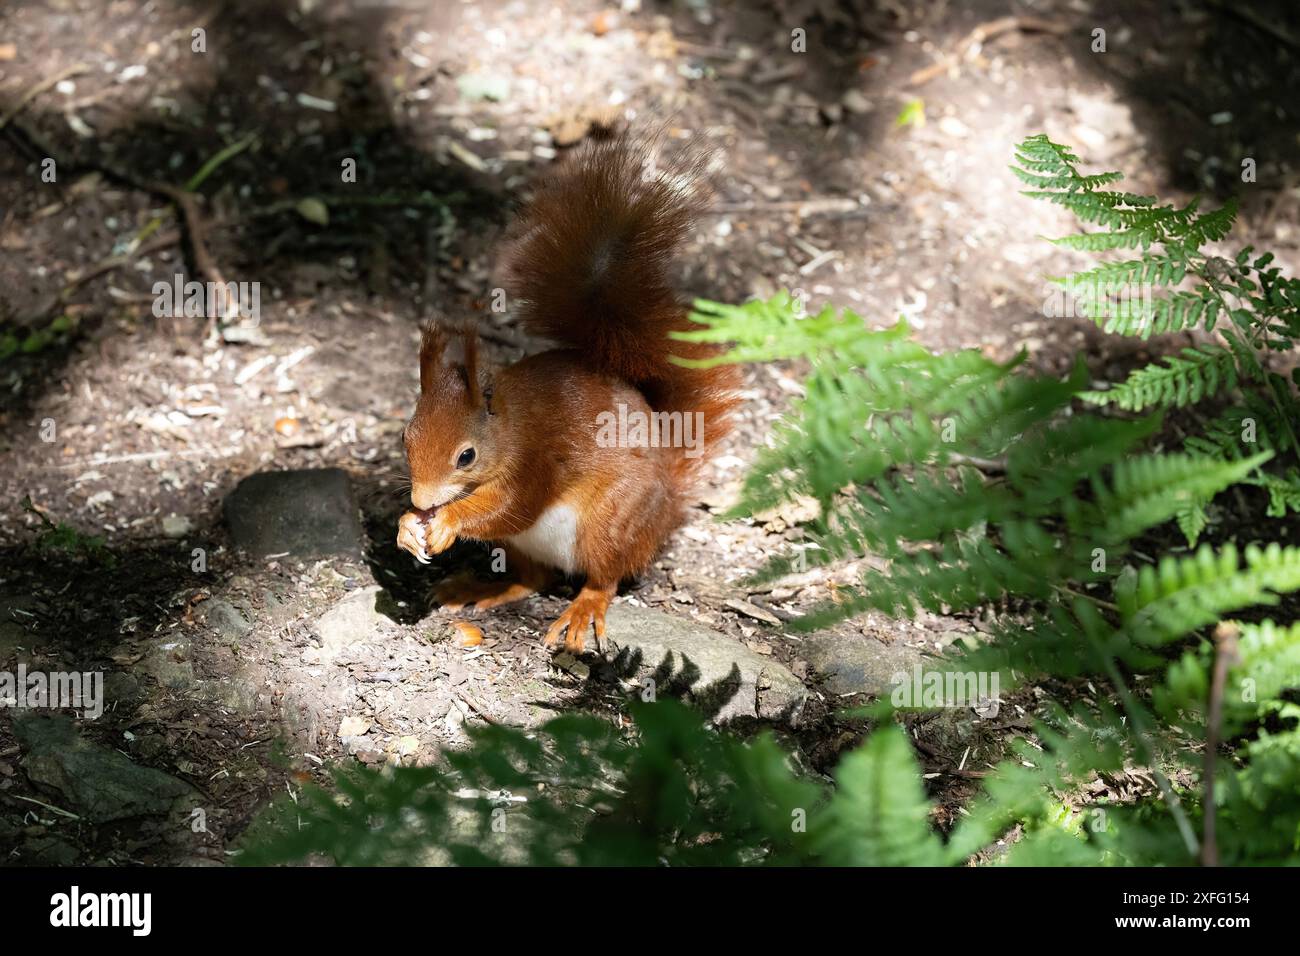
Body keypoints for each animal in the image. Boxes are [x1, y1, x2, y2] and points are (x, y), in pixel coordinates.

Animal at [395, 134, 743, 655]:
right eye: (406, 439)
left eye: (466, 456)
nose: (422, 500)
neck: (511, 427)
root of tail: (666, 509)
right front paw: (406, 527)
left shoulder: (537, 464)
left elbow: (509, 507)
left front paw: (447, 522)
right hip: (519, 546)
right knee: (532, 578)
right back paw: (480, 587)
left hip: (609, 522)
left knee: (605, 576)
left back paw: (583, 609)